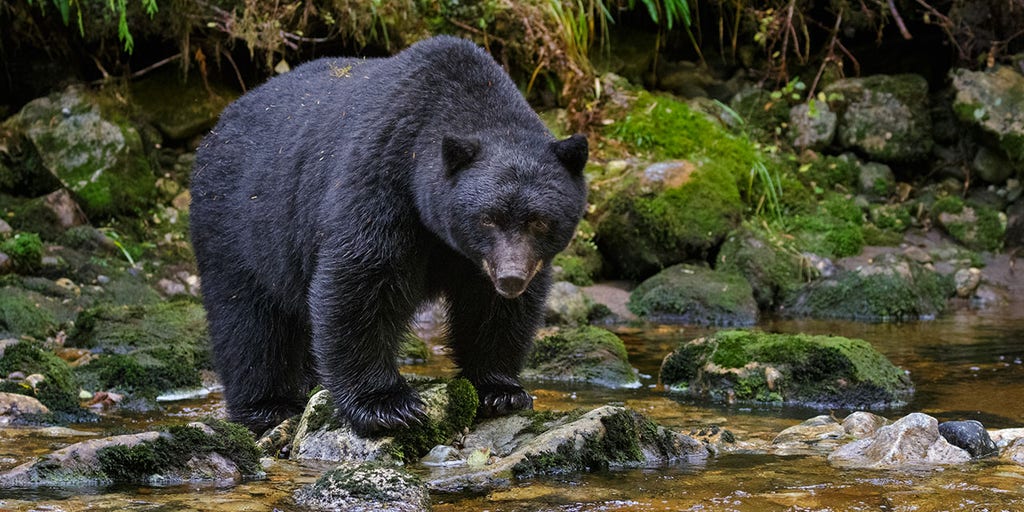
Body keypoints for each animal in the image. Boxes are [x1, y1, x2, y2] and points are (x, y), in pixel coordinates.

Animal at [190, 36, 588, 437]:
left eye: (539, 221)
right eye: (488, 218)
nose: (511, 278)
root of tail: (219, 125)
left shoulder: (482, 259)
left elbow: (492, 308)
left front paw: (500, 390)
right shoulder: (383, 177)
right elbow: (361, 281)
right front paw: (386, 405)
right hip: (238, 221)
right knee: (248, 318)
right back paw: (267, 405)